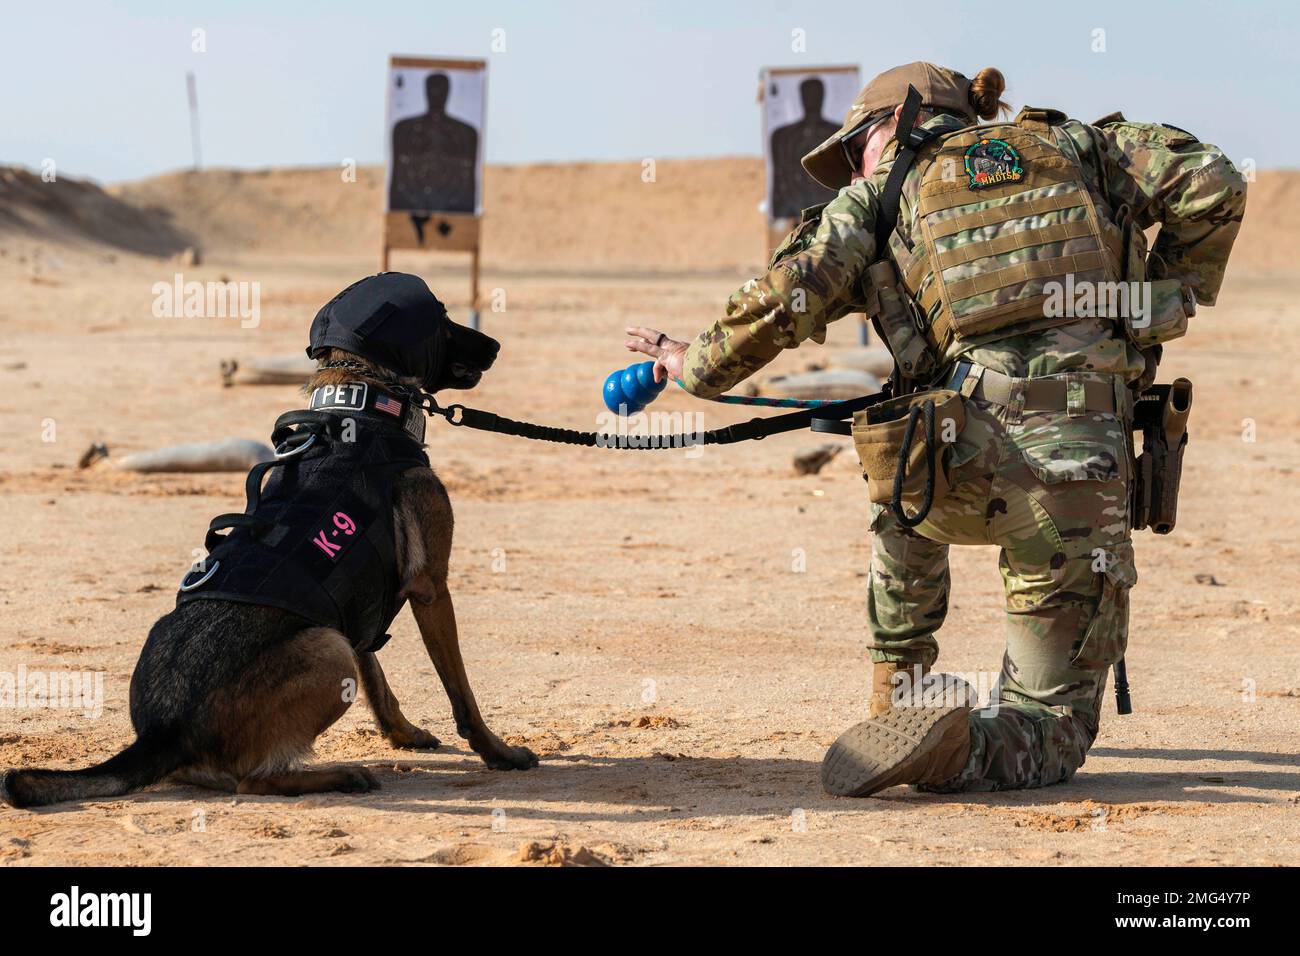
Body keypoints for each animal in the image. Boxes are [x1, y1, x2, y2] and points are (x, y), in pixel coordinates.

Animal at [2, 273, 535, 806]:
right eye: (443, 317)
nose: (495, 345)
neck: (364, 398)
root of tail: (160, 734)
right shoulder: (430, 590)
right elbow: (461, 691)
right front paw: (498, 752)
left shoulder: (353, 607)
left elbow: (378, 681)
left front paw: (405, 734)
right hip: (328, 650)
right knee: (252, 780)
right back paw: (339, 776)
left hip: (328, 640)